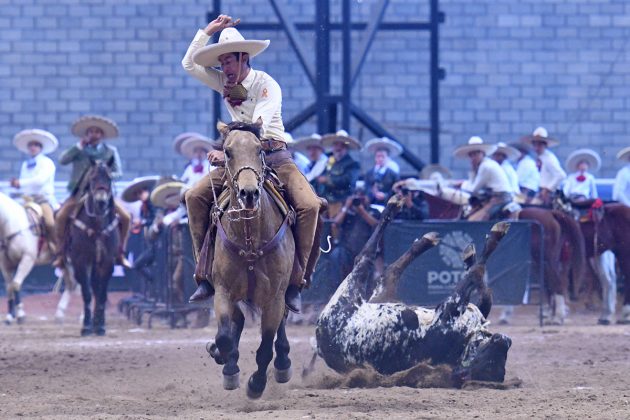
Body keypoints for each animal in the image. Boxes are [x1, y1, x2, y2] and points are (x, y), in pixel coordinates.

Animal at [0, 190, 55, 324]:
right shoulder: (5, 264)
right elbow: (9, 287)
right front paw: (9, 317)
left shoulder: (27, 259)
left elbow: (16, 284)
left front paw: (20, 315)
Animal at [65, 161, 121, 334]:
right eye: (92, 178)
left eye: (109, 178)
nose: (101, 201)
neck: (96, 226)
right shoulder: (80, 261)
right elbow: (87, 293)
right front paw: (86, 326)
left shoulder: (108, 262)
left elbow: (102, 293)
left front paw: (100, 325)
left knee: (98, 289)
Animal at [205, 120, 298, 398]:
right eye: (227, 152)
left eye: (260, 150)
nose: (248, 193)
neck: (250, 240)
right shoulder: (223, 291)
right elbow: (224, 336)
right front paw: (226, 363)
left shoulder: (275, 296)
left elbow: (266, 345)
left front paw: (256, 385)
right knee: (237, 321)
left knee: (281, 323)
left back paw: (283, 363)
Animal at [316, 199, 512, 386]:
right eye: (491, 356)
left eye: (492, 361)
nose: (503, 340)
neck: (463, 344)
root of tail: (321, 344)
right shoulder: (463, 307)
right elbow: (482, 285)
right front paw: (471, 256)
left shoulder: (450, 308)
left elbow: (477, 274)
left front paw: (491, 238)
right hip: (377, 295)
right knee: (388, 269)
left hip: (350, 291)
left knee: (369, 260)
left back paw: (398, 210)